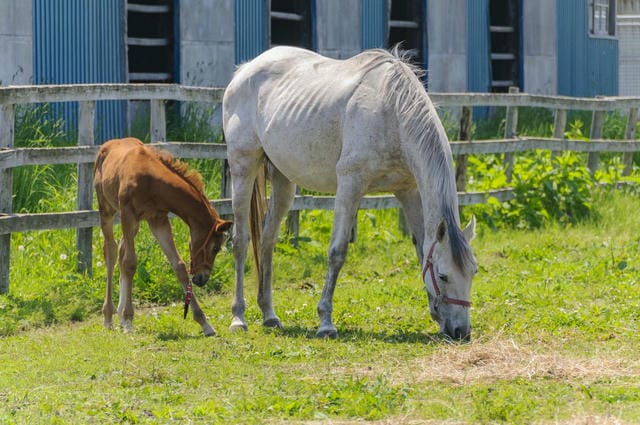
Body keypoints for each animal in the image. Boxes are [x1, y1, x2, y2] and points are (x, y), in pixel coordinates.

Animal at [222, 46, 478, 340]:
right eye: (444, 275)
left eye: (473, 272)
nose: (461, 332)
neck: (392, 111)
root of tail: (245, 70)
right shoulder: (350, 184)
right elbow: (337, 252)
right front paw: (325, 322)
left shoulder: (409, 191)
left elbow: (420, 249)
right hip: (243, 166)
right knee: (241, 241)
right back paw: (238, 317)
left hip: (283, 181)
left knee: (266, 240)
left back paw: (269, 315)